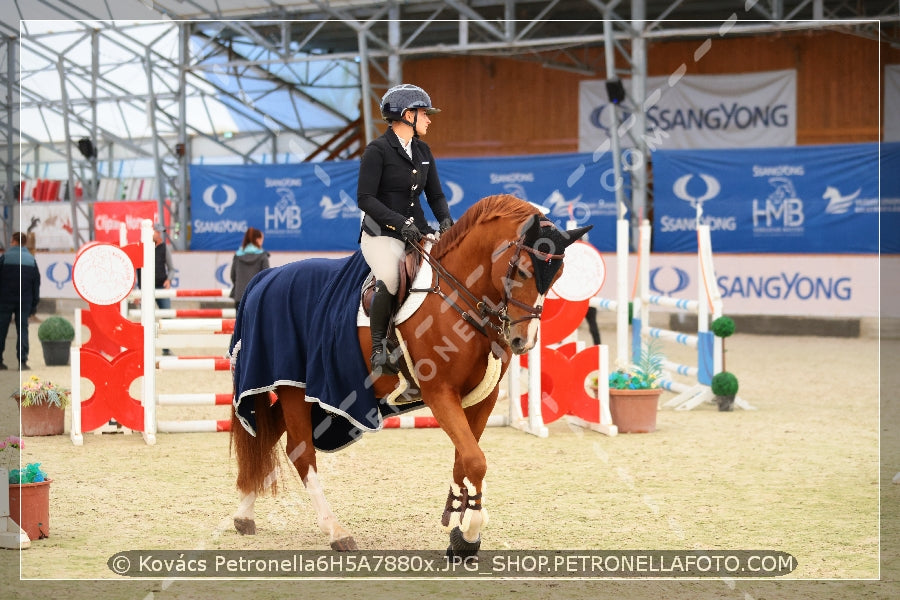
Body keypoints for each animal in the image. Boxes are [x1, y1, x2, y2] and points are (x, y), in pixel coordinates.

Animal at [229, 195, 588, 556]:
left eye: (557, 276)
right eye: (525, 271)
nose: (523, 341)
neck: (462, 294)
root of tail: (266, 278)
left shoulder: (482, 398)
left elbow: (465, 459)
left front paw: (460, 531)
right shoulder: (439, 392)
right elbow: (475, 460)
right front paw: (470, 532)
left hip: (303, 389)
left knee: (268, 433)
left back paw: (245, 513)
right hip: (293, 386)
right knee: (301, 452)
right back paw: (335, 530)